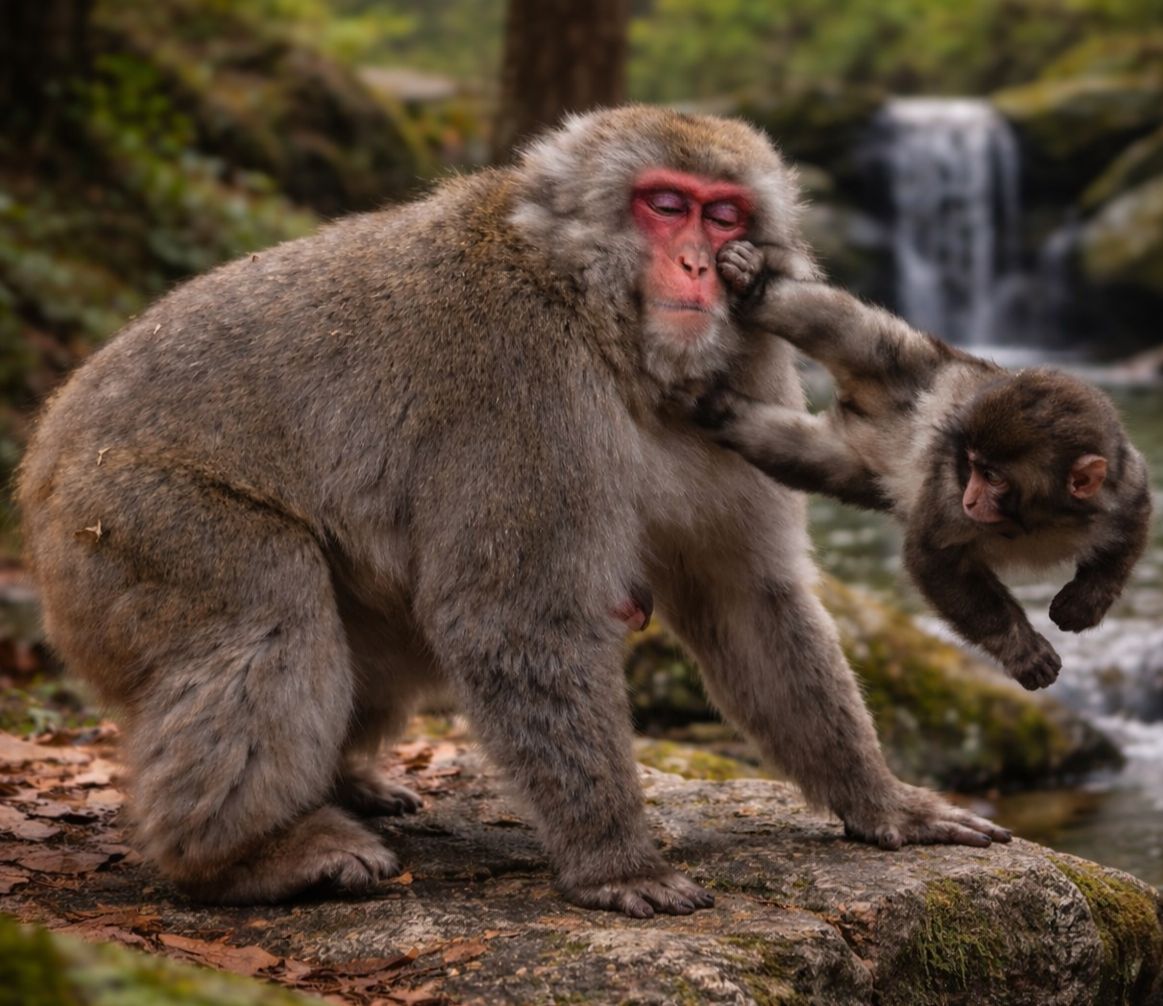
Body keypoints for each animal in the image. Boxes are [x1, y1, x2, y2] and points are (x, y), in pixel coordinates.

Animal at [17, 106, 1010, 918]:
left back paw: (347, 782)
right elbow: (515, 617)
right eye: (663, 205)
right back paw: (240, 857)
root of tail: (40, 462)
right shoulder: (524, 385)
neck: (600, 322)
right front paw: (616, 861)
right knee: (269, 615)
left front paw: (881, 802)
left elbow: (747, 599)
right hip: (127, 526)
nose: (697, 264)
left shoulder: (743, 374)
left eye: (723, 214)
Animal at [689, 239, 1152, 691]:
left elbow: (1132, 526)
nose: (971, 499)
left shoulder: (1122, 486)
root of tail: (862, 408)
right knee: (855, 335)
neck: (1039, 519)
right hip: (919, 365)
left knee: (795, 451)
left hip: (849, 458)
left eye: (993, 477)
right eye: (973, 467)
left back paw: (723, 410)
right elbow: (931, 557)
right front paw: (1022, 649)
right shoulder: (948, 492)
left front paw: (1086, 602)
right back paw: (754, 285)